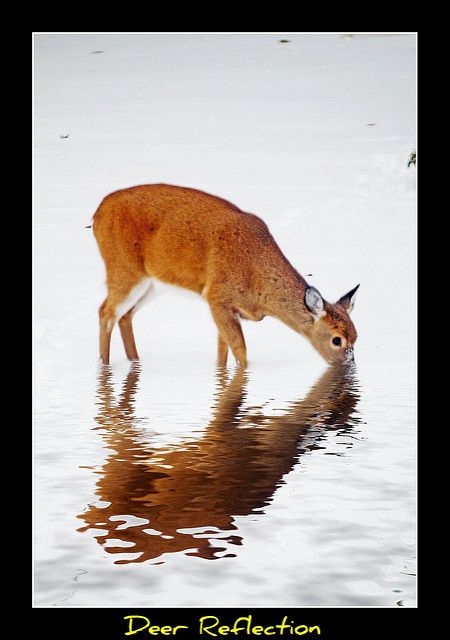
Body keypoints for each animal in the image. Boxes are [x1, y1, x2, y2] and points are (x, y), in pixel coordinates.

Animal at [93, 184, 360, 364]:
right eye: (337, 339)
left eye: (356, 336)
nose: (348, 366)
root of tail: (97, 213)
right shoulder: (217, 297)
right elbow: (240, 352)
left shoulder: (229, 309)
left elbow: (222, 353)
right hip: (124, 268)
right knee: (106, 311)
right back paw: (105, 366)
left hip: (152, 283)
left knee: (125, 316)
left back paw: (134, 361)